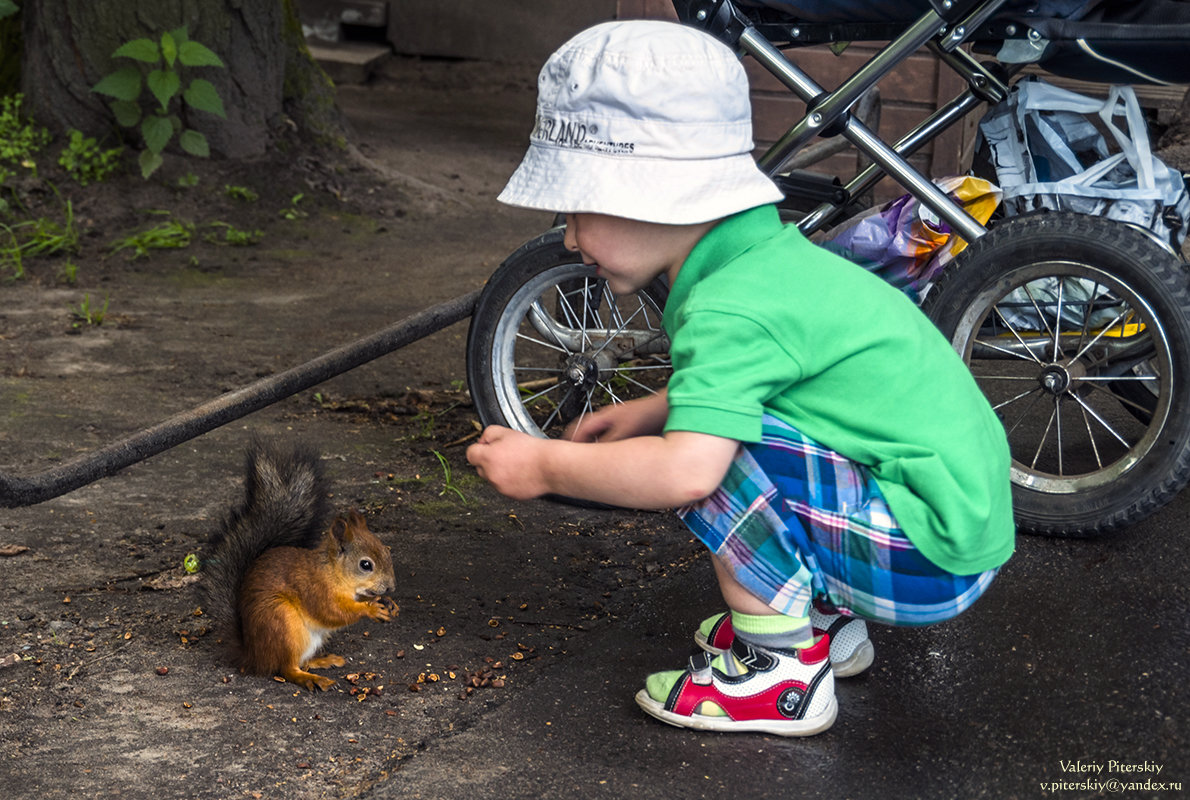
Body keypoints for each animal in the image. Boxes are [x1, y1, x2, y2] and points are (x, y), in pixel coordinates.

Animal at [201, 440, 395, 690]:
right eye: (366, 565)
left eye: (386, 550)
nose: (391, 587)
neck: (333, 573)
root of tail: (253, 656)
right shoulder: (314, 589)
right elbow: (333, 612)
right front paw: (371, 609)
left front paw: (387, 602)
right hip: (283, 622)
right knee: (287, 668)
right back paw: (310, 678)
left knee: (300, 661)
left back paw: (322, 661)